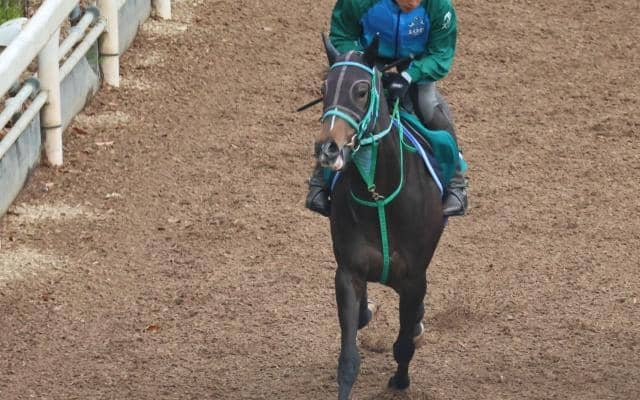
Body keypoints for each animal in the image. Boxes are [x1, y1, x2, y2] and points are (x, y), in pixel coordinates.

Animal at [315, 35, 446, 400]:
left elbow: (403, 345)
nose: (327, 148)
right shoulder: (348, 272)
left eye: (361, 91)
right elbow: (348, 359)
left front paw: (400, 381)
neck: (378, 197)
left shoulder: (414, 278)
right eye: (324, 87)